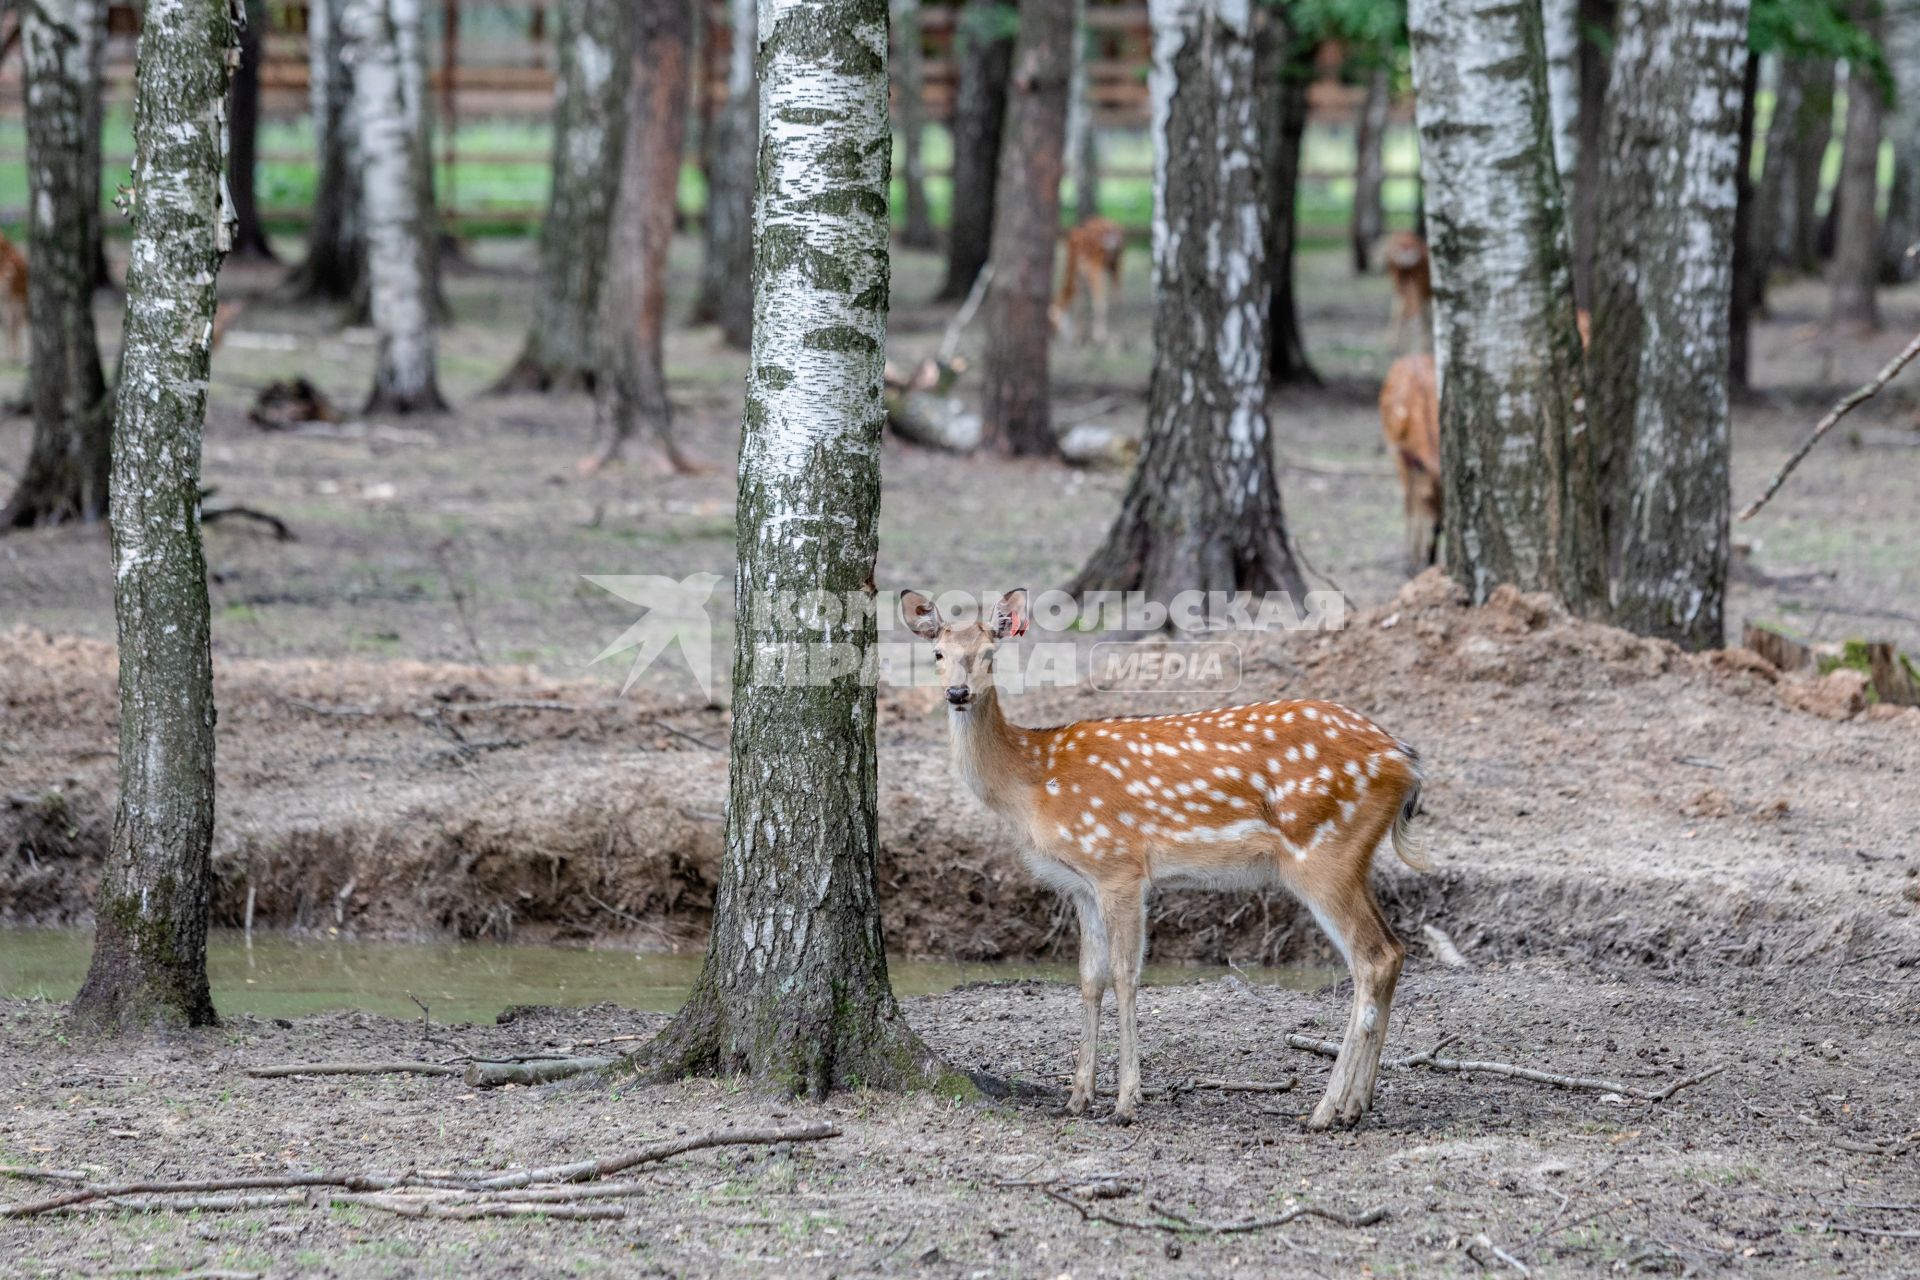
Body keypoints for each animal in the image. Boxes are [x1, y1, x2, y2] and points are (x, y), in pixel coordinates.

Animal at [898, 591, 1428, 1128]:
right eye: (938, 653)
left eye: (990, 654)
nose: (958, 693)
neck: (1031, 783)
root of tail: (1406, 759)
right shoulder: (1081, 885)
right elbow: (1088, 979)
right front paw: (1078, 1097)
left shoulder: (1119, 865)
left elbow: (1126, 976)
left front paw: (1126, 1102)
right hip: (1351, 856)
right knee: (1394, 951)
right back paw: (1355, 1105)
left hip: (1322, 851)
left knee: (1371, 959)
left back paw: (1324, 1111)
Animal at [1052, 216, 1121, 345]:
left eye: (1052, 321)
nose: (1053, 334)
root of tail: (1115, 228)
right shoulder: (1081, 277)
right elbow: (1080, 304)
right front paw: (1079, 336)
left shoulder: (1082, 273)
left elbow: (1084, 302)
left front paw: (1080, 336)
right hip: (1115, 262)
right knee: (1117, 293)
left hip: (1098, 265)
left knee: (1102, 298)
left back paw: (1100, 335)